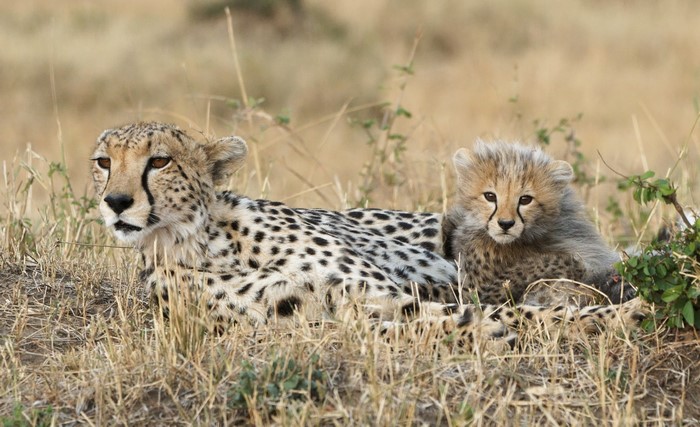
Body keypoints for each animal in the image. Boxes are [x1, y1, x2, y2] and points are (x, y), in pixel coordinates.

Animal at [91, 122, 645, 352]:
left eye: (159, 161)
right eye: (103, 162)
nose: (115, 201)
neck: (205, 241)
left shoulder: (385, 293)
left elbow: (518, 312)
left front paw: (623, 315)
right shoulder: (314, 318)